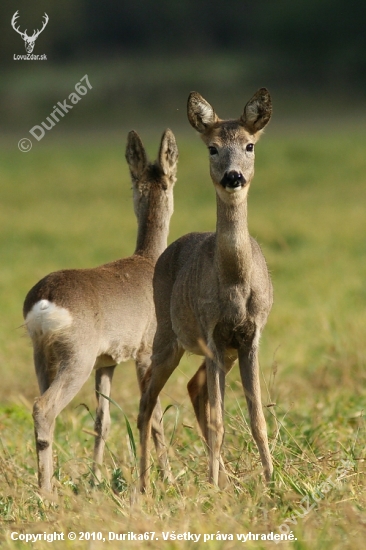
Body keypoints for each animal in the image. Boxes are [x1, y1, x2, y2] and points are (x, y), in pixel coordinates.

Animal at [22, 129, 177, 496]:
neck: (149, 260)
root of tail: (44, 300)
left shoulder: (107, 362)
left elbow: (102, 420)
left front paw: (95, 481)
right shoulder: (146, 350)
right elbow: (155, 414)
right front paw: (165, 480)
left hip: (43, 357)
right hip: (76, 356)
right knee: (43, 408)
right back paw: (47, 494)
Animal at [139, 89, 274, 492]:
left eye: (249, 145)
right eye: (213, 148)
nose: (233, 176)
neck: (234, 284)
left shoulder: (249, 337)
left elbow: (257, 417)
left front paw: (273, 481)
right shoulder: (212, 334)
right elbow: (218, 421)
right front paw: (214, 487)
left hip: (217, 352)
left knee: (193, 388)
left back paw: (224, 478)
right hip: (168, 337)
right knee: (147, 400)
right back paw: (144, 483)